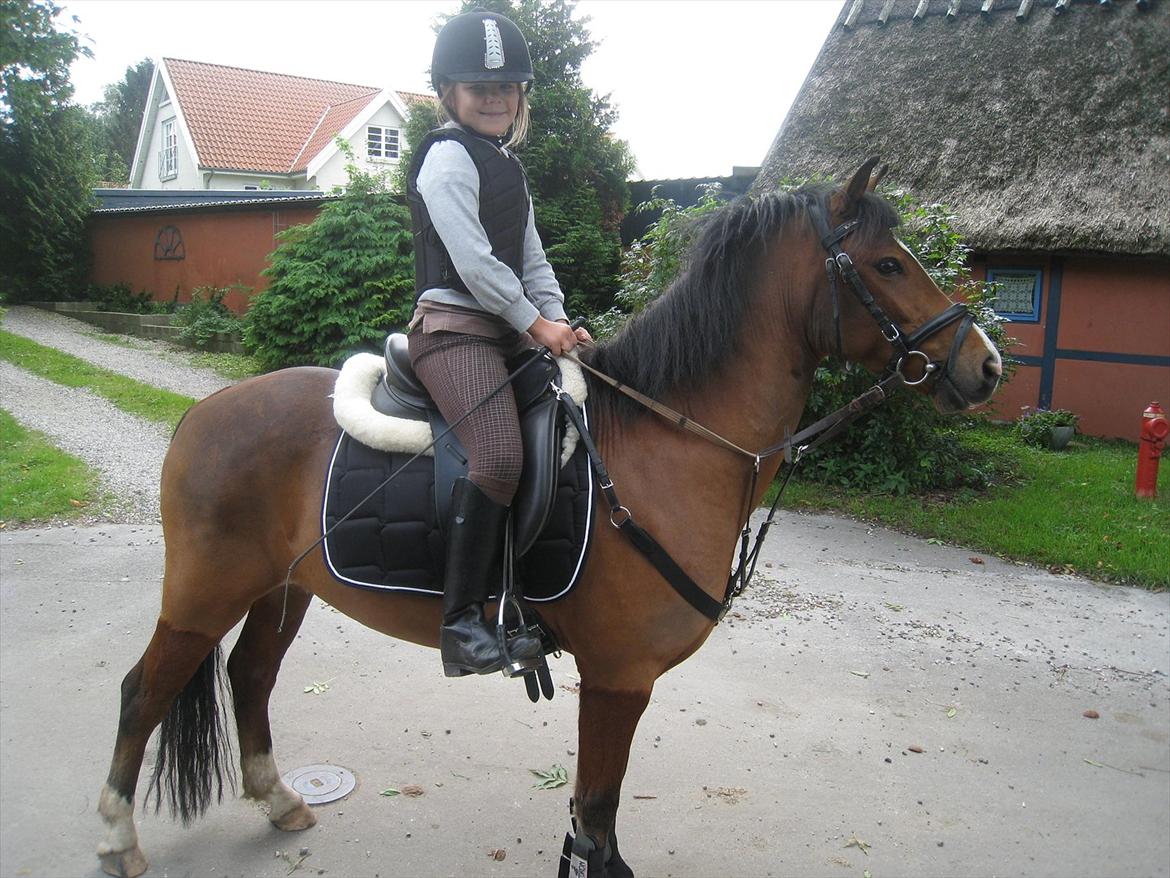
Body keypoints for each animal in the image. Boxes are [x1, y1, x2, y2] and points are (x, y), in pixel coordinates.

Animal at [96, 158, 1001, 878]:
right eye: (887, 263)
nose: (986, 366)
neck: (671, 443)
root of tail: (205, 412)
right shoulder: (617, 679)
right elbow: (595, 819)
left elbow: (597, 819)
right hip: (205, 593)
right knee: (143, 693)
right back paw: (116, 839)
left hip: (282, 589)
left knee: (250, 676)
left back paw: (279, 799)